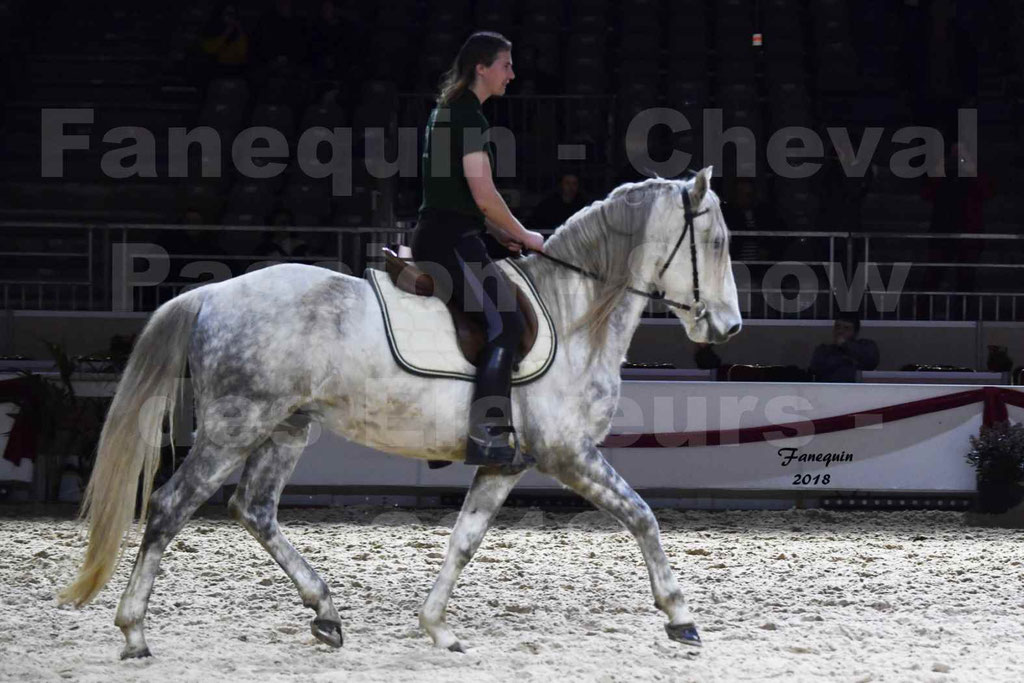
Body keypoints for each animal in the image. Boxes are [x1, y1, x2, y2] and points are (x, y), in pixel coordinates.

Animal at [59, 167, 742, 658]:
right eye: (714, 242)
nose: (729, 327)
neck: (573, 312)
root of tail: (210, 293)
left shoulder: (507, 464)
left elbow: (465, 540)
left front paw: (437, 626)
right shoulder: (569, 455)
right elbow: (643, 516)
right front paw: (680, 617)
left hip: (285, 428)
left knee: (254, 510)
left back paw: (326, 612)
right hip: (233, 429)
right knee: (171, 507)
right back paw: (134, 632)